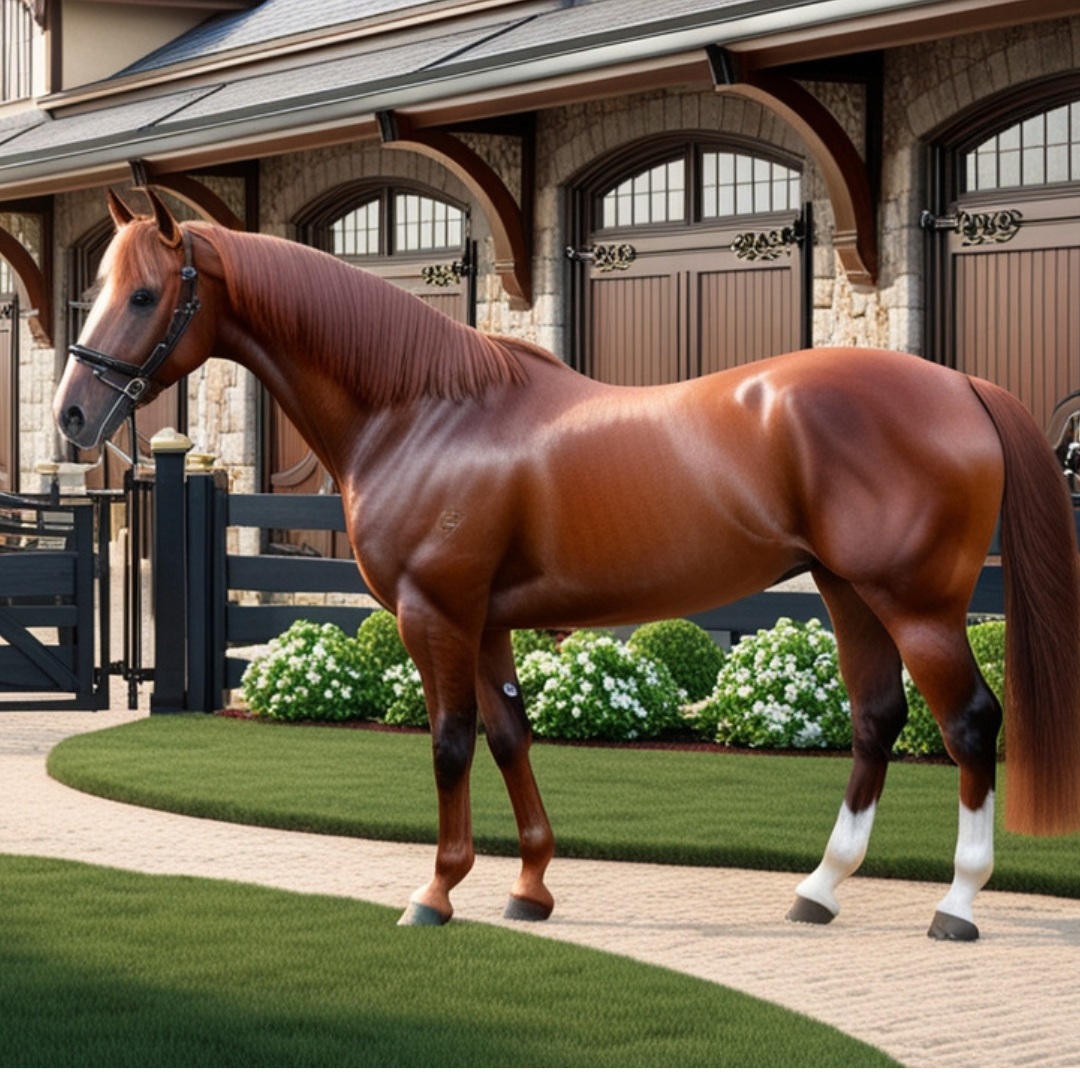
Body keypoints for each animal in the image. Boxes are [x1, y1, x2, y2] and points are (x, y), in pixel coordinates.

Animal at [54, 188, 1080, 941]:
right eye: (96, 288)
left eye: (143, 295)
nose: (70, 417)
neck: (424, 410)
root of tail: (961, 384)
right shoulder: (487, 621)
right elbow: (512, 737)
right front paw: (531, 889)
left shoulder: (435, 613)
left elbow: (451, 742)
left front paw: (435, 894)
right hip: (849, 593)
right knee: (875, 720)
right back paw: (818, 891)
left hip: (918, 604)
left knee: (971, 725)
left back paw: (956, 905)